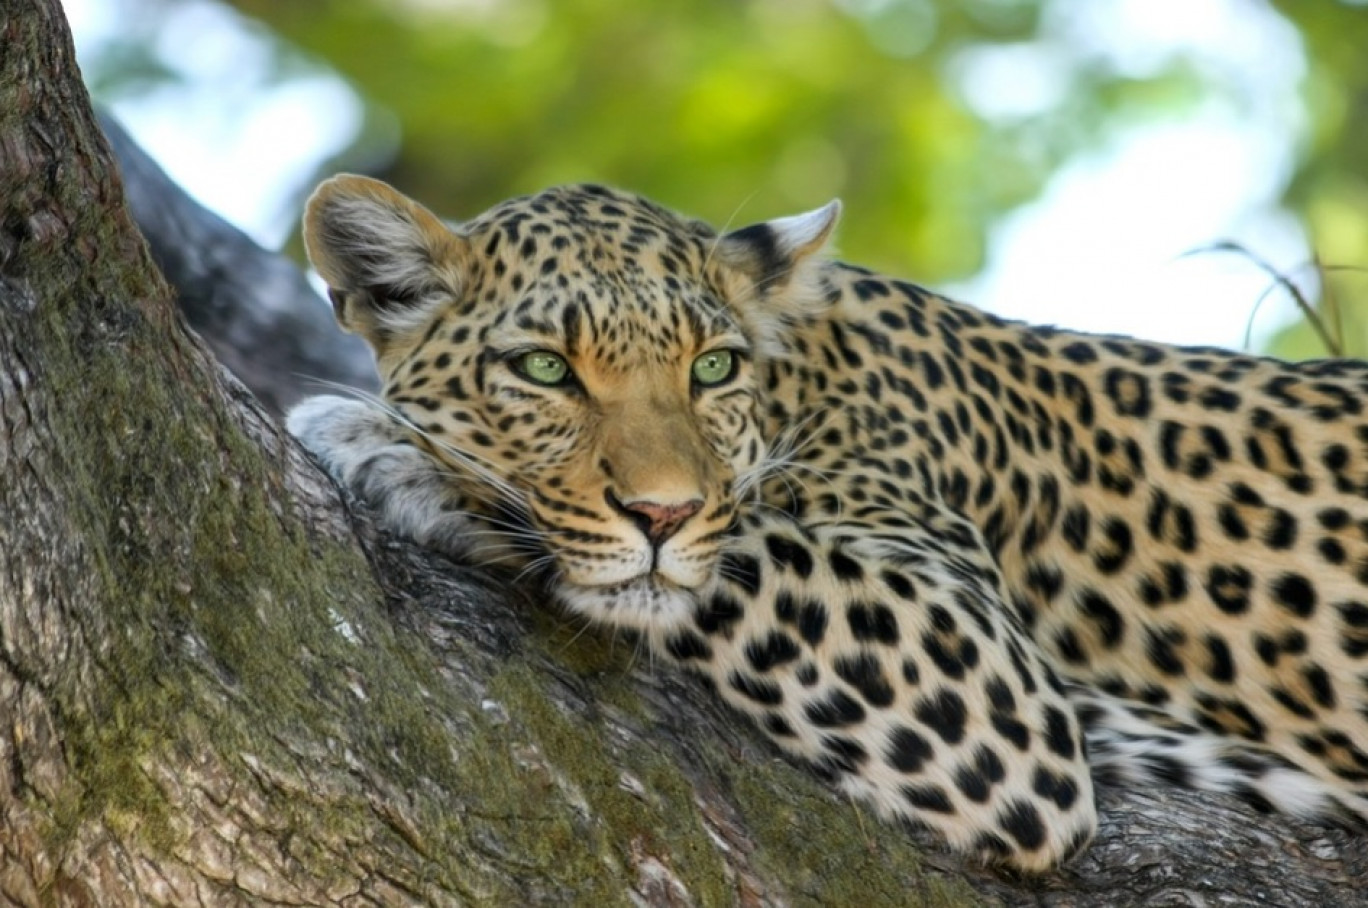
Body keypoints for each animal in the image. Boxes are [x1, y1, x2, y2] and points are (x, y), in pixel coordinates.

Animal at [285, 173, 1368, 869]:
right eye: (546, 368)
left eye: (712, 367)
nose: (663, 510)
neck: (803, 380)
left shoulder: (991, 681)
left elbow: (737, 552)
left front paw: (394, 449)